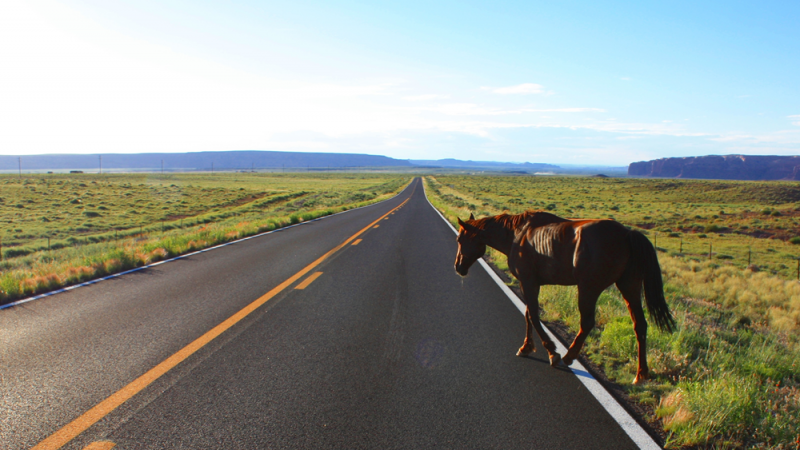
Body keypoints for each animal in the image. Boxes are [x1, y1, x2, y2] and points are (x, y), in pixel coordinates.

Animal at [454, 211, 672, 384]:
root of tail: (627, 233)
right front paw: (526, 347)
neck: (517, 235)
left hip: (588, 288)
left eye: (460, 240)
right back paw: (641, 374)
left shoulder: (528, 282)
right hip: (629, 286)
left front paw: (552, 351)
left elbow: (533, 316)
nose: (458, 267)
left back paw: (568, 356)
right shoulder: (532, 284)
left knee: (587, 322)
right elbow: (528, 314)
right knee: (640, 324)